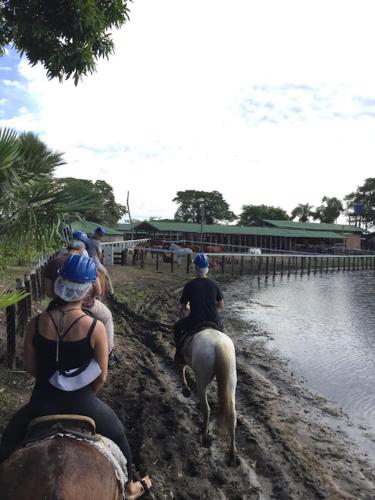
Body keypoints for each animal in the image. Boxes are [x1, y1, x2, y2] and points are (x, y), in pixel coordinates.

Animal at [180, 328, 238, 464]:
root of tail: (219, 344)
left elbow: (182, 367)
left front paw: (185, 386)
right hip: (231, 381)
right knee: (232, 416)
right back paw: (232, 453)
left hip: (201, 379)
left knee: (206, 408)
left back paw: (204, 434)